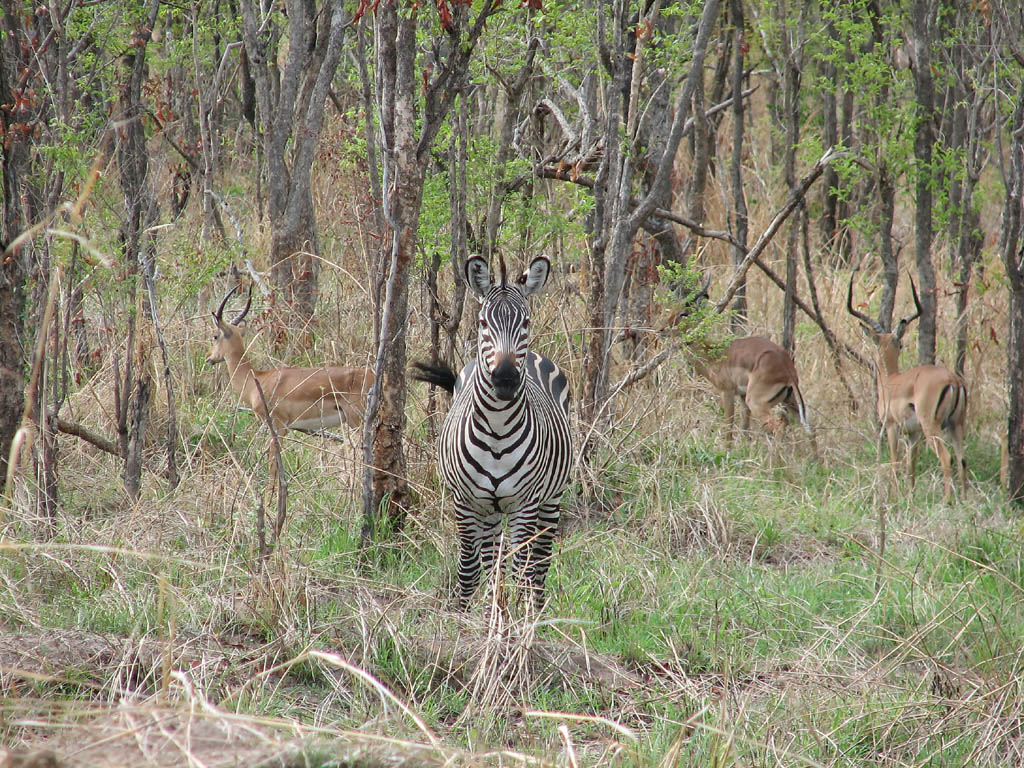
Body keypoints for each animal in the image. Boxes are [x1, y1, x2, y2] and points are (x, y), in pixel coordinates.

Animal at [415, 256, 577, 610]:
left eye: (526, 321)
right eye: (483, 323)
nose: (504, 379)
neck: (498, 433)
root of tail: (535, 356)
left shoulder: (524, 504)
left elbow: (520, 570)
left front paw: (513, 617)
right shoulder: (466, 502)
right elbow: (472, 569)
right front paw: (470, 615)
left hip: (551, 499)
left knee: (538, 565)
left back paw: (535, 613)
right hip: (490, 510)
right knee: (491, 564)